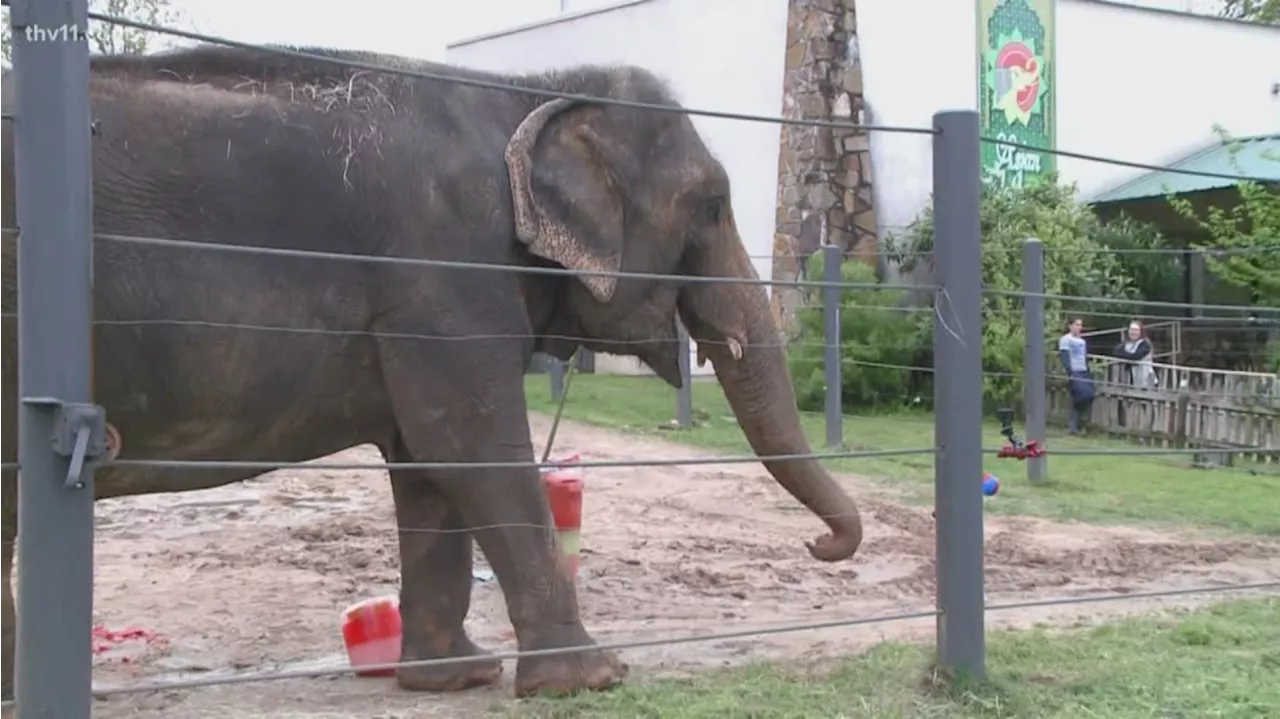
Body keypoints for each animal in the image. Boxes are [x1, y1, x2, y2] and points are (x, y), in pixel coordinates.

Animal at [0, 44, 865, 695]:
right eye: (712, 206)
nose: (822, 546)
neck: (527, 90)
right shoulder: (444, 270)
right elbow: (468, 442)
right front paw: (593, 676)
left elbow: (426, 461)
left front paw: (456, 677)